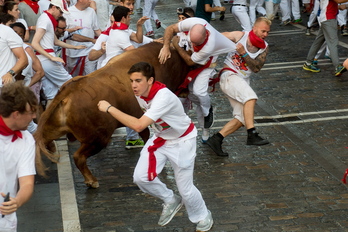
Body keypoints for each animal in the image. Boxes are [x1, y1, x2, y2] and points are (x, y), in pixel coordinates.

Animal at [34, 42, 190, 188]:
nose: (185, 92)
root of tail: (69, 90)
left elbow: (145, 133)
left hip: (53, 129)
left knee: (41, 139)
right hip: (99, 138)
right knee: (78, 157)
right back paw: (91, 181)